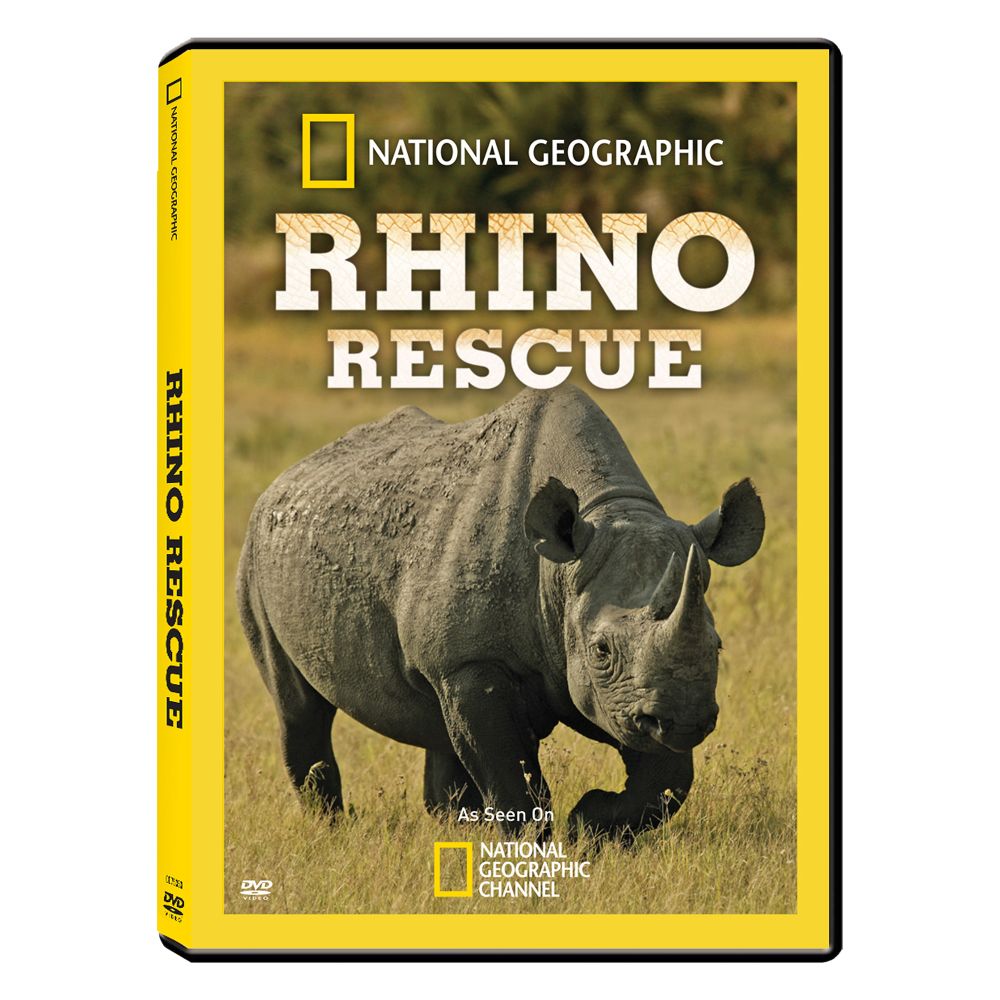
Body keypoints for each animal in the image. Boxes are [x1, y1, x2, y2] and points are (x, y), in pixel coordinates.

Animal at [237, 385, 764, 840]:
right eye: (601, 650)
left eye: (718, 645)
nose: (684, 722)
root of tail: (283, 479)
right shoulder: (470, 662)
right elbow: (508, 771)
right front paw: (534, 850)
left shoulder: (629, 693)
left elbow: (666, 782)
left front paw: (589, 823)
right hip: (257, 553)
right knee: (299, 707)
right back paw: (333, 827)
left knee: (436, 722)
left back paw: (453, 828)